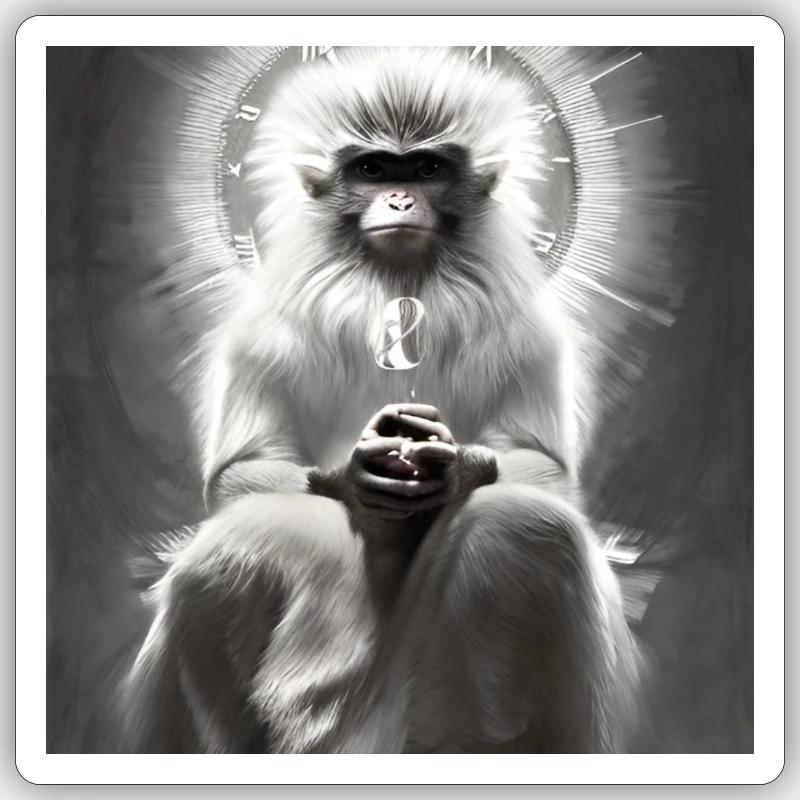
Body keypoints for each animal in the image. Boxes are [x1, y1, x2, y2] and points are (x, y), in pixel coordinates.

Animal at [125, 47, 641, 754]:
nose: (399, 198)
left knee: (528, 528)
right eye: (371, 170)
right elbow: (239, 474)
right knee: (230, 556)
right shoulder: (259, 329)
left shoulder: (532, 331)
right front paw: (353, 476)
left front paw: (459, 469)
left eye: (426, 168)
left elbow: (547, 471)